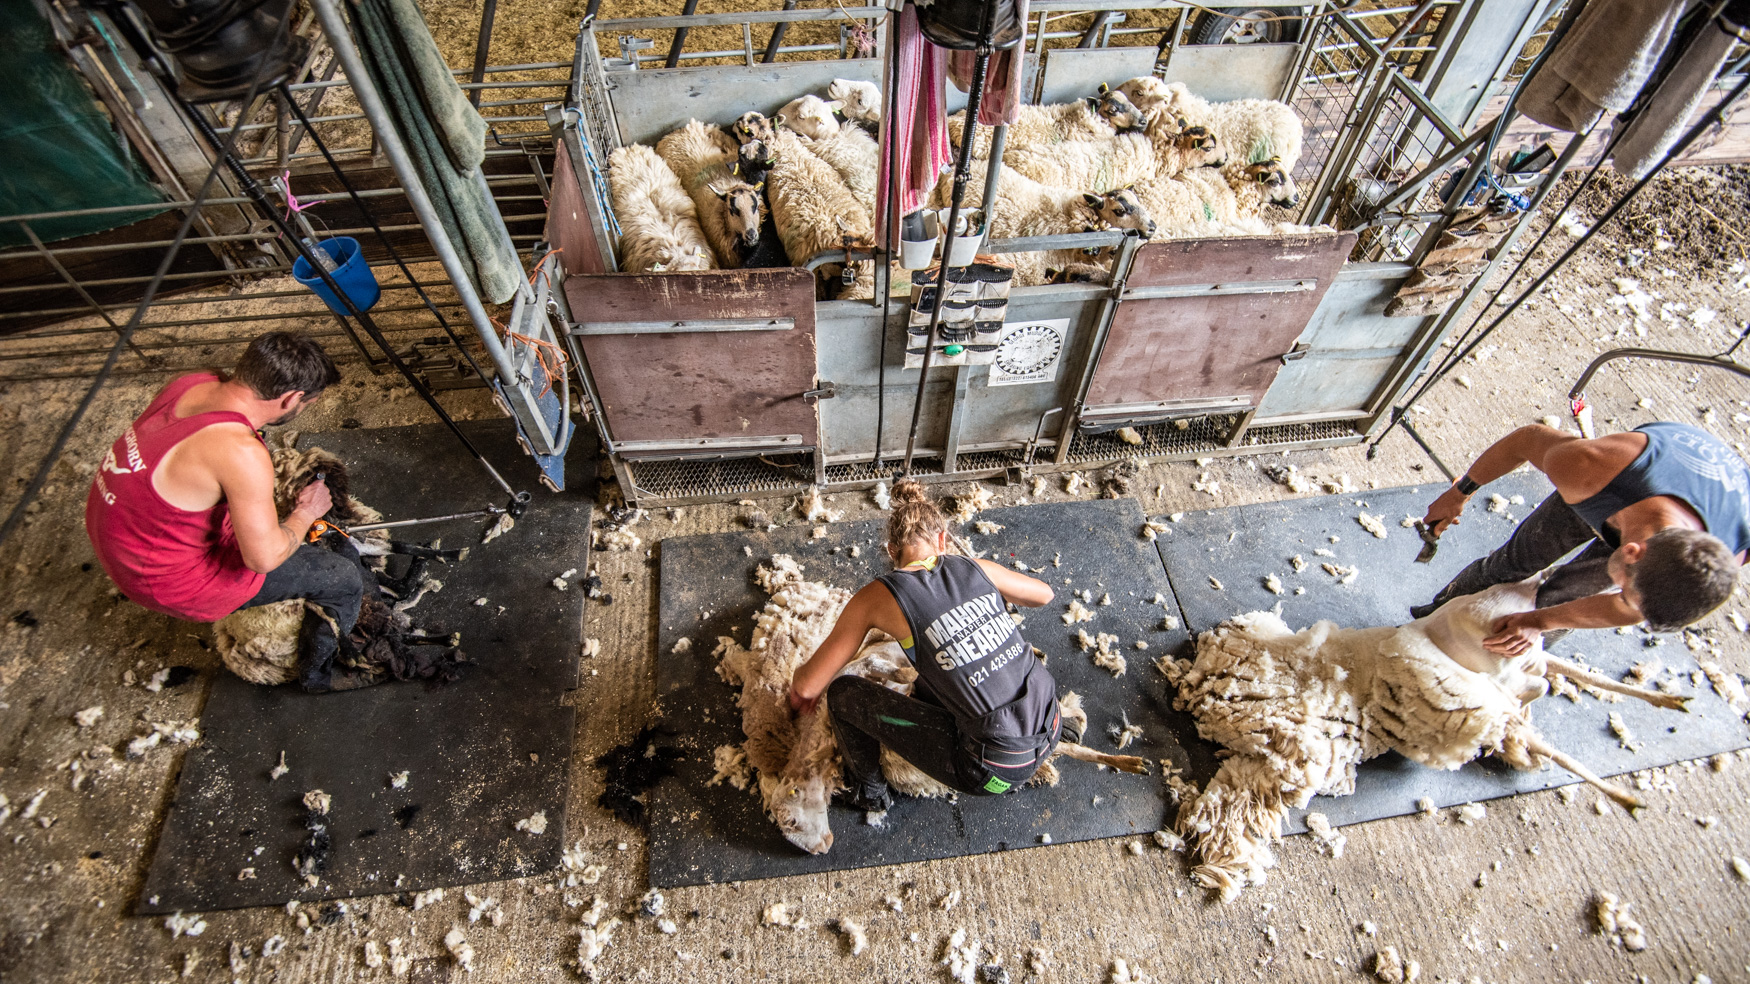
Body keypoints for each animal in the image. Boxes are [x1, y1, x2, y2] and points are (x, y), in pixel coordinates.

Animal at [1162, 570, 1680, 903]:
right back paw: (1657, 722)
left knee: (1538, 682)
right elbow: (1233, 812)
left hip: (1478, 677)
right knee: (1540, 684)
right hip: (1493, 676)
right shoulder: (1272, 763)